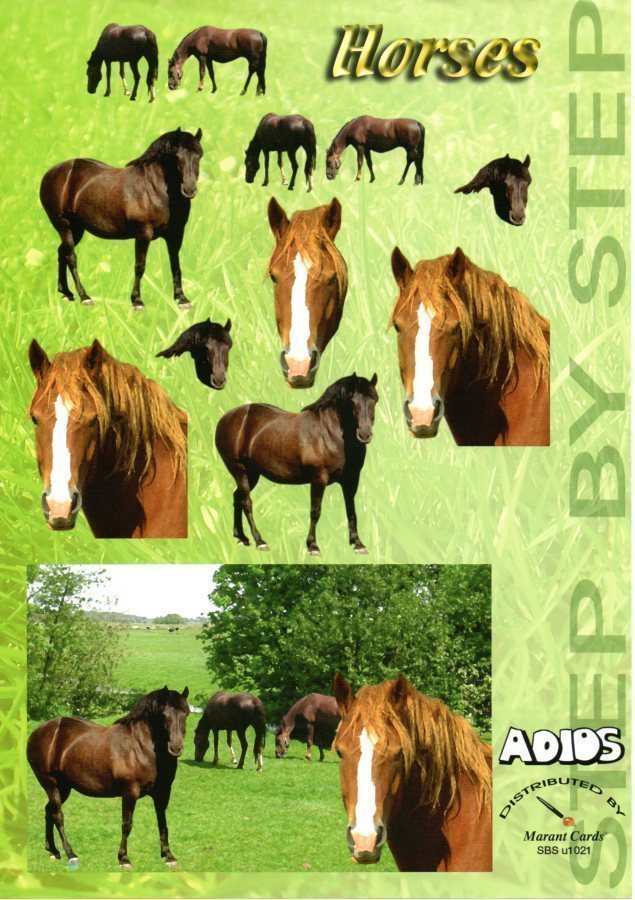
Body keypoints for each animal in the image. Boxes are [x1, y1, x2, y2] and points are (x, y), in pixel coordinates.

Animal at [27, 687, 190, 870]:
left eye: (186, 713)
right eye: (163, 715)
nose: (176, 748)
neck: (141, 748)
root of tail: (38, 732)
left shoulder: (162, 792)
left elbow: (162, 823)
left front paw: (169, 856)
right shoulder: (130, 792)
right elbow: (127, 824)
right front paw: (124, 859)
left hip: (64, 788)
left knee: (49, 811)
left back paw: (53, 850)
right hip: (50, 784)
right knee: (58, 815)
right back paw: (71, 854)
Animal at [39, 127, 203, 310]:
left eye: (199, 155)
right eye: (176, 156)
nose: (189, 189)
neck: (154, 190)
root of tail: (51, 172)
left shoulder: (175, 235)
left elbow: (176, 265)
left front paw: (182, 299)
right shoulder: (143, 234)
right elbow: (140, 266)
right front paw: (137, 301)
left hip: (77, 230)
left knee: (62, 253)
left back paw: (66, 292)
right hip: (64, 226)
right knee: (71, 257)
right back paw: (84, 297)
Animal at [214, 372, 378, 555]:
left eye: (375, 400)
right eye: (352, 402)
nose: (365, 434)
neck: (330, 434)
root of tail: (225, 418)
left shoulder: (351, 480)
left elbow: (351, 511)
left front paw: (358, 544)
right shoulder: (319, 478)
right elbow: (315, 511)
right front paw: (313, 546)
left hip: (252, 474)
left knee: (237, 497)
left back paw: (242, 537)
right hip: (239, 470)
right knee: (246, 502)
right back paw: (259, 541)